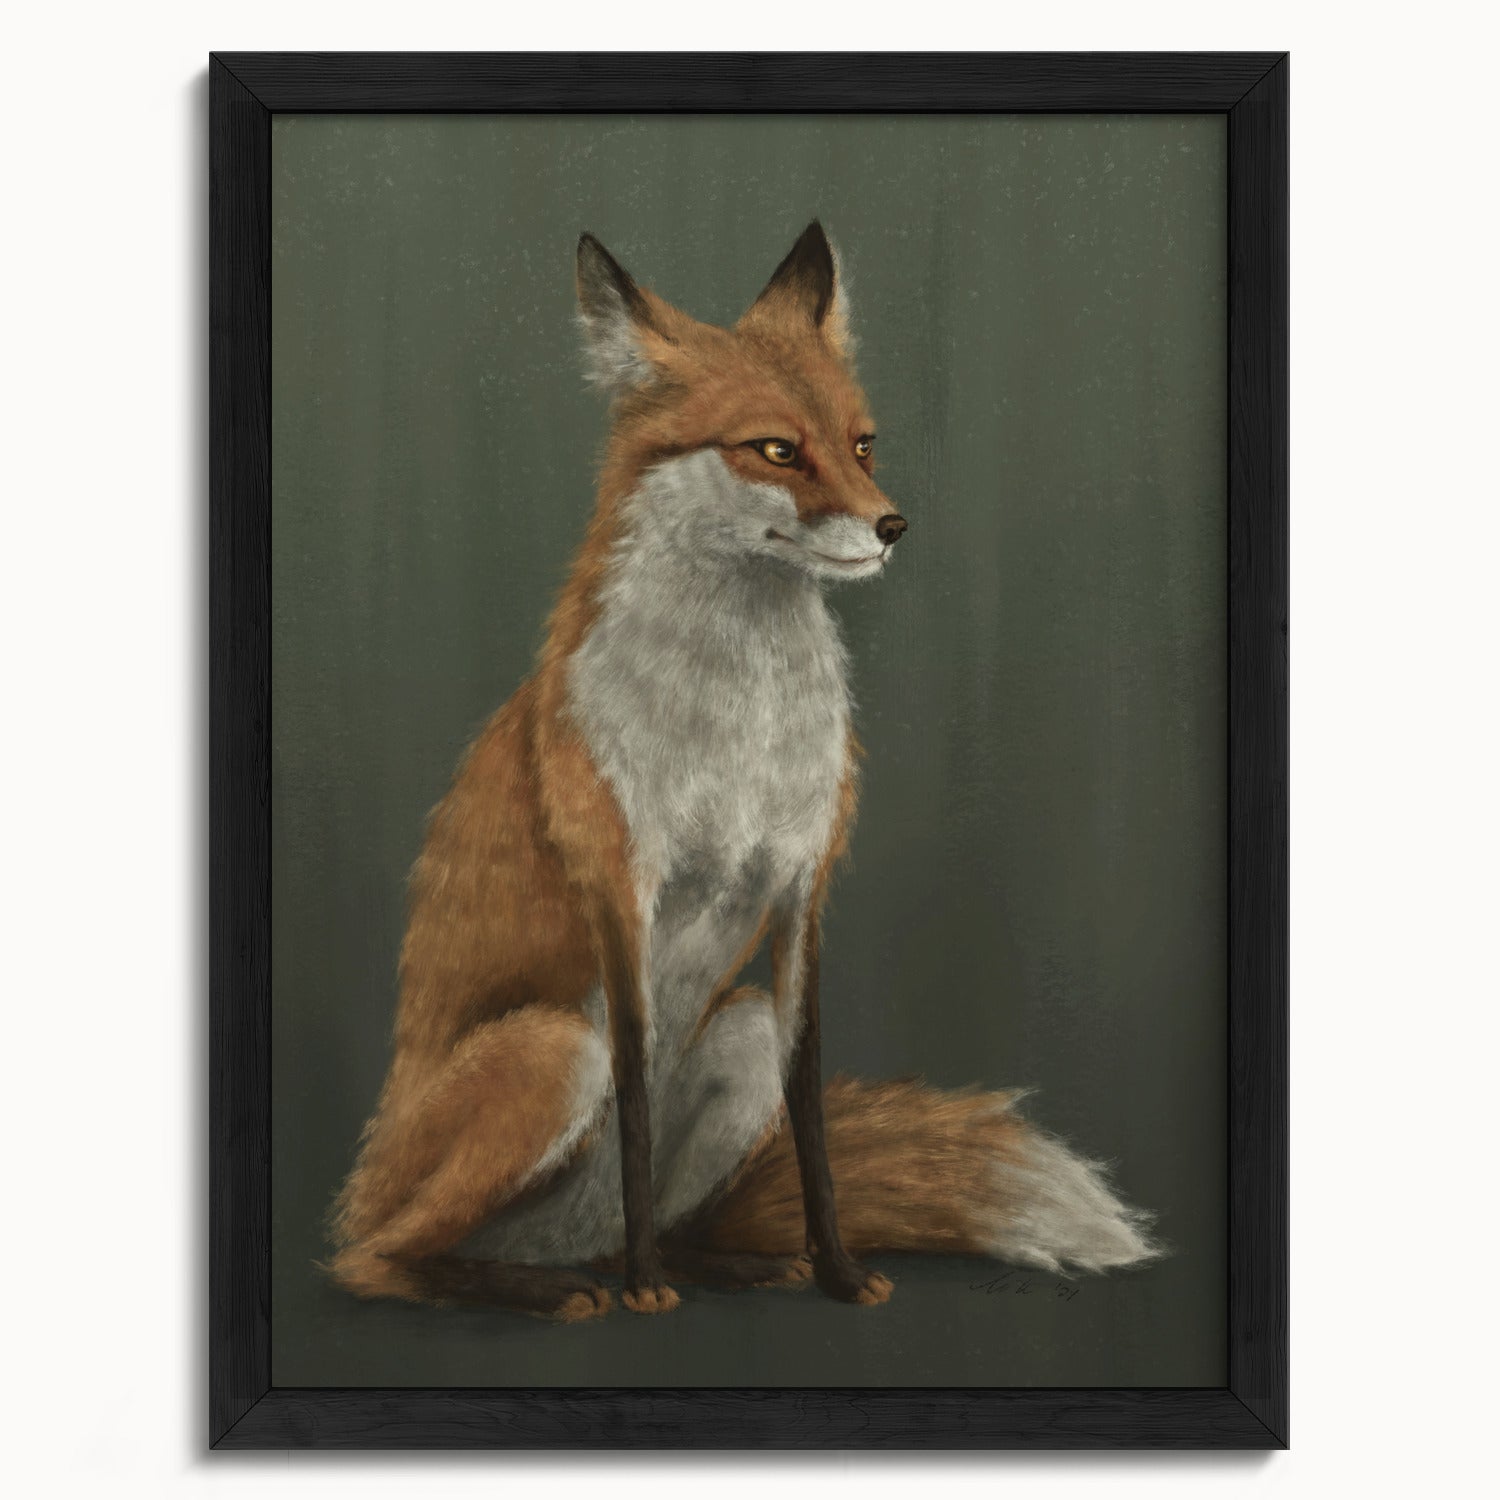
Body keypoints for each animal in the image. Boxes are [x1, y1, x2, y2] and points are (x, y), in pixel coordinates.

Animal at [327, 222, 1157, 1321]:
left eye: (862, 443)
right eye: (775, 450)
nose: (893, 526)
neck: (739, 730)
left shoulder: (802, 890)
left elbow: (810, 1116)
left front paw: (837, 1271)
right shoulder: (622, 892)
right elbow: (636, 1101)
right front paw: (645, 1292)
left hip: (738, 1033)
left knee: (667, 1215)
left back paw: (720, 1263)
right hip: (552, 1051)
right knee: (378, 1260)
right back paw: (555, 1286)